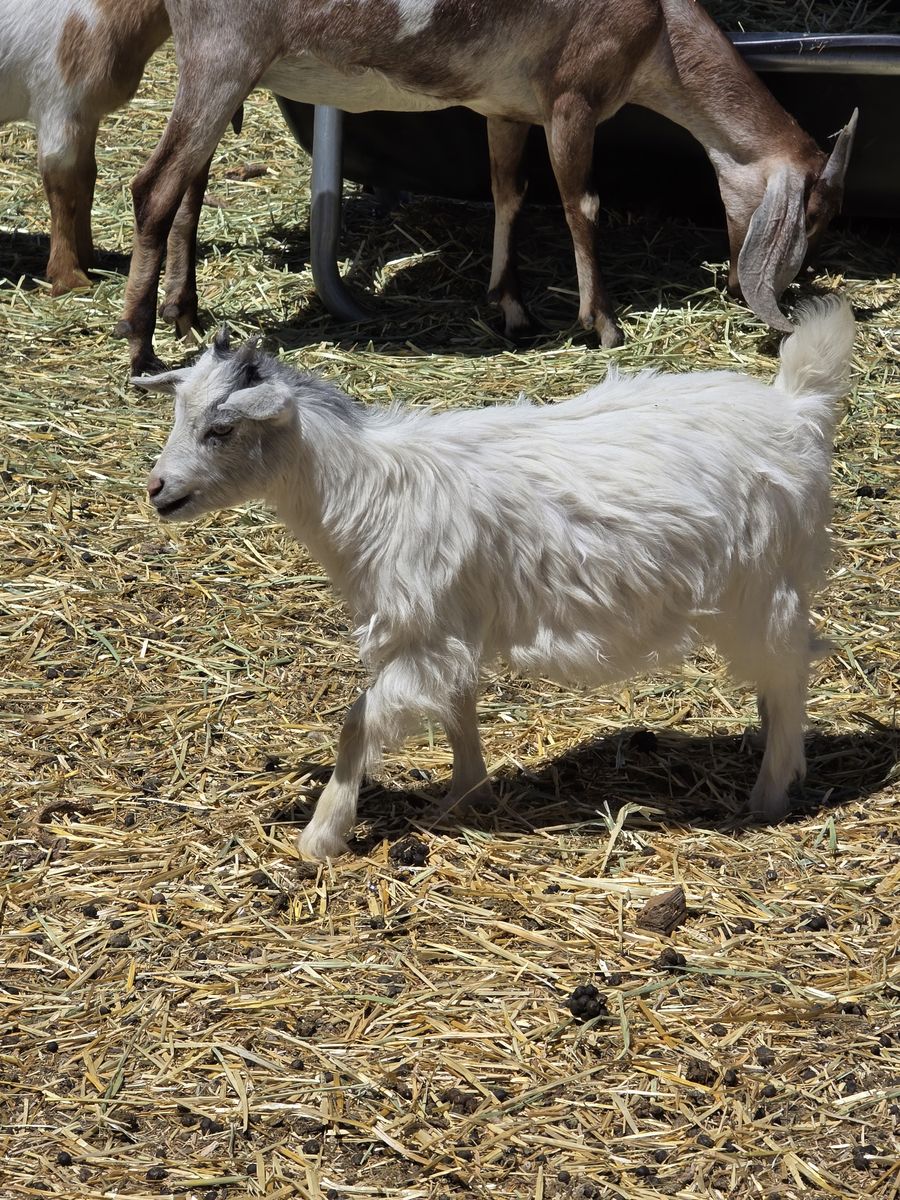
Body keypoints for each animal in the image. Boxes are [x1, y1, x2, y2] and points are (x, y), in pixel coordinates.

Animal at [116, 0, 855, 372]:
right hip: (225, 54)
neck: (662, 34)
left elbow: (510, 192)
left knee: (188, 183)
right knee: (154, 187)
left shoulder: (506, 107)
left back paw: (184, 316)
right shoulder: (571, 98)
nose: (762, 286)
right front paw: (603, 323)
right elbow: (581, 205)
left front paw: (512, 307)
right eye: (818, 213)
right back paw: (141, 344)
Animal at [136, 295, 854, 861]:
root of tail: (796, 407)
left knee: (790, 668)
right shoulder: (447, 625)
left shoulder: (421, 631)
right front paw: (464, 793)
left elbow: (358, 723)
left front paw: (321, 836)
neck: (367, 489)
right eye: (178, 417)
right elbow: (458, 705)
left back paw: (769, 793)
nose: (157, 490)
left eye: (222, 428)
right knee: (780, 678)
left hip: (761, 584)